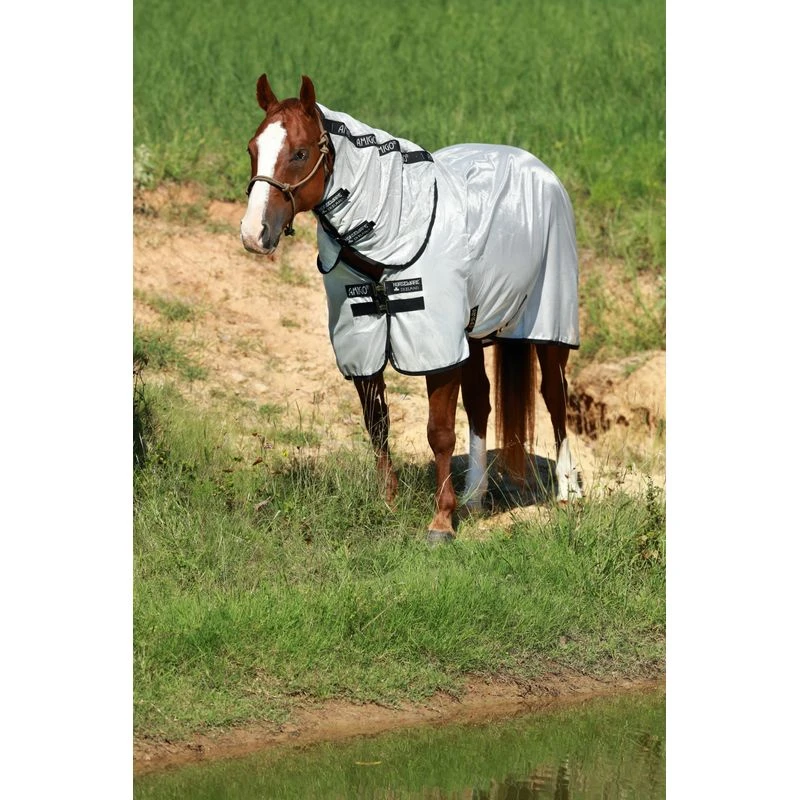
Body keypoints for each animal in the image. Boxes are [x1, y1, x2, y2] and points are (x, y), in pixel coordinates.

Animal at [241, 74, 582, 544]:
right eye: (252, 149)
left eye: (300, 153)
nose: (254, 234)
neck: (392, 231)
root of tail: (540, 169)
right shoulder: (362, 344)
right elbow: (378, 426)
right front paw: (389, 503)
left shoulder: (435, 347)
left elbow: (439, 433)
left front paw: (441, 522)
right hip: (472, 334)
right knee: (481, 403)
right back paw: (474, 497)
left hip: (550, 326)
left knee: (555, 399)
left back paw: (568, 493)